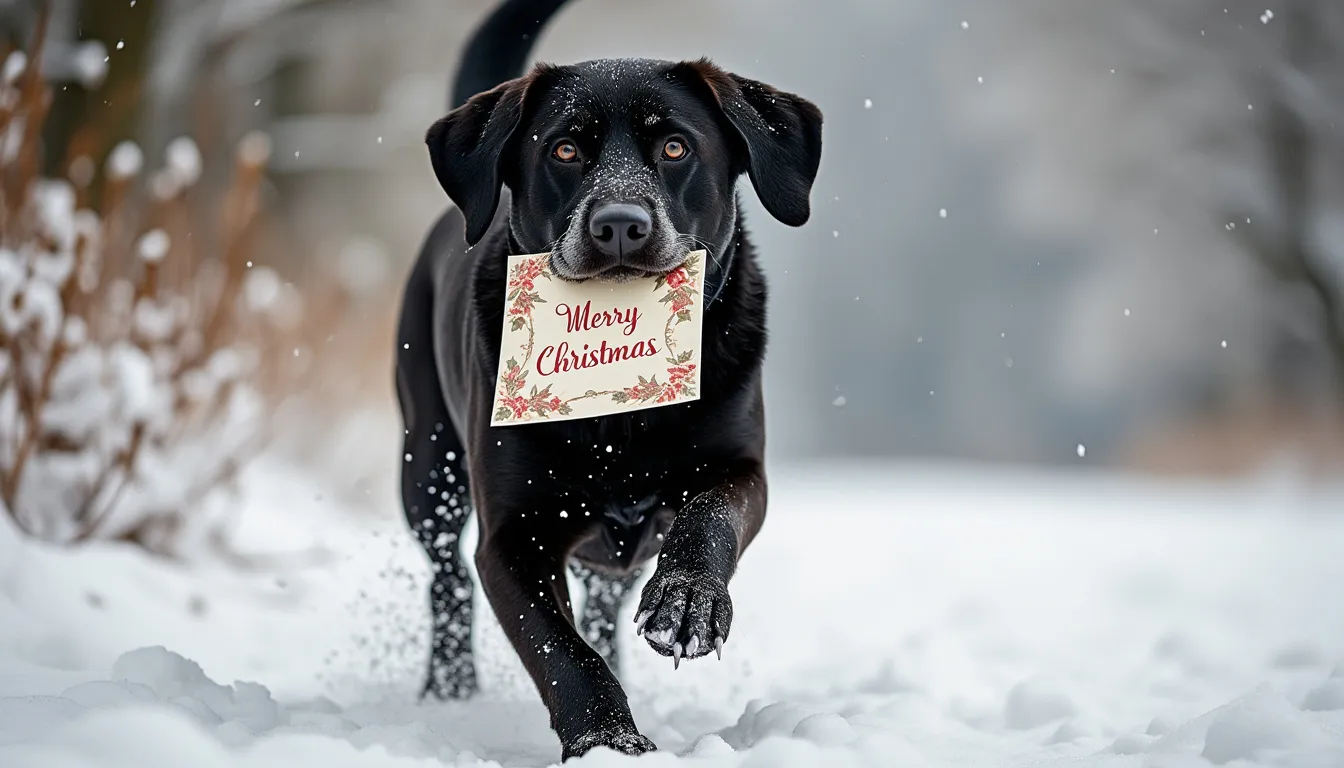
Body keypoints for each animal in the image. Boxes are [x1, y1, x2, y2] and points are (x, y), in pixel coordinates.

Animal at [392, 0, 822, 758]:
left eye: (675, 148)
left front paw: (687, 601)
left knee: (604, 600)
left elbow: (710, 520)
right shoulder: (513, 537)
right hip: (428, 464)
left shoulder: (740, 470)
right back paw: (450, 691)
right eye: (565, 150)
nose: (620, 224)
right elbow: (560, 650)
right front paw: (607, 740)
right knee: (446, 579)